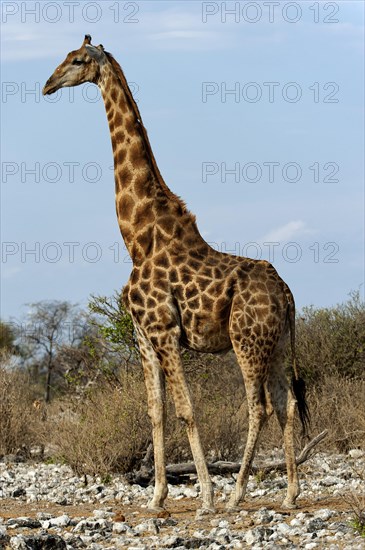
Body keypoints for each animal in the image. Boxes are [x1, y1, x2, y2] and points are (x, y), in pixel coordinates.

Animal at [43, 36, 310, 516]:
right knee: (287, 403)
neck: (138, 237)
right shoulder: (143, 335)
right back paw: (291, 492)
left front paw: (204, 495)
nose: (47, 85)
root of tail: (287, 293)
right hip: (278, 342)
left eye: (76, 60)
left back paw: (235, 495)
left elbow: (186, 409)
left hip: (246, 340)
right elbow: (156, 411)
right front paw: (156, 497)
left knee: (259, 406)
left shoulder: (164, 330)